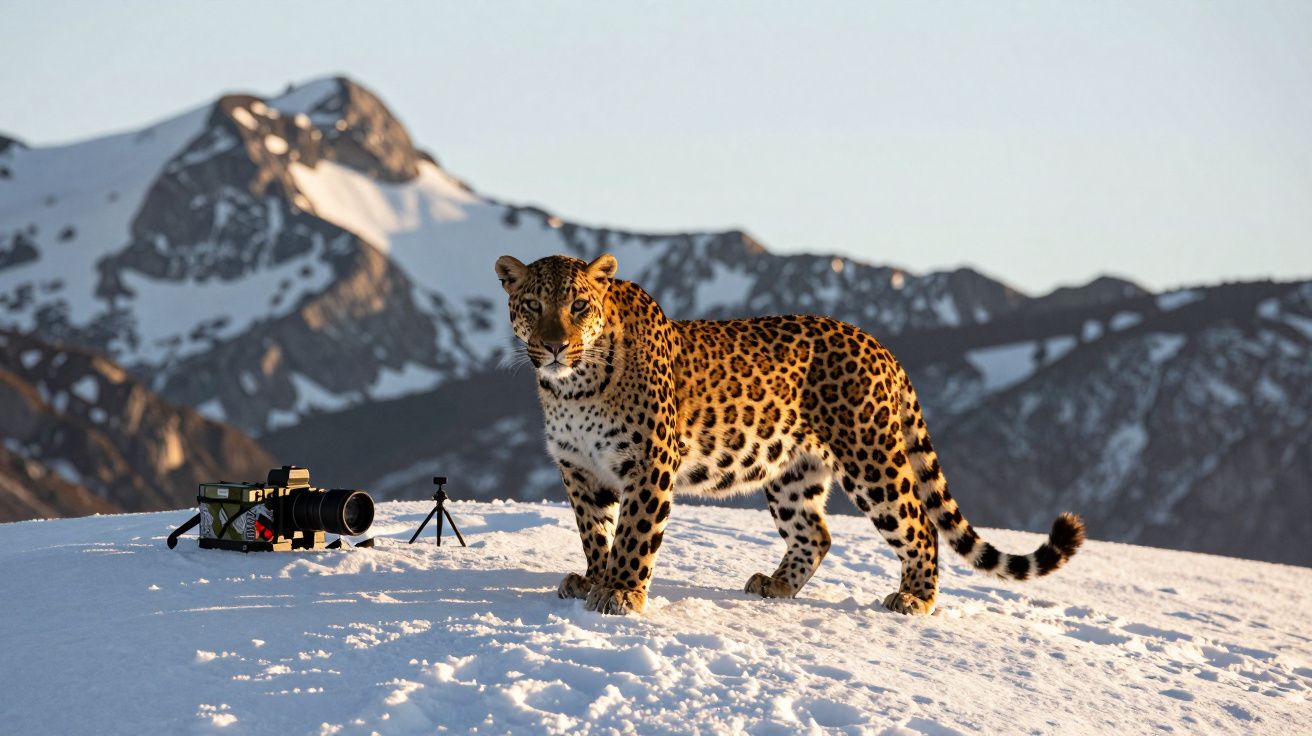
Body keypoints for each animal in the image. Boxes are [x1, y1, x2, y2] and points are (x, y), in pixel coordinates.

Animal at [495, 252, 1085, 616]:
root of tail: (882, 347)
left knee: (920, 523)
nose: (553, 346)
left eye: (578, 306)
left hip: (871, 458)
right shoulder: (580, 469)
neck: (573, 387)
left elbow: (635, 533)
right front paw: (593, 579)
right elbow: (594, 532)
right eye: (534, 306)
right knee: (817, 533)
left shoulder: (649, 462)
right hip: (791, 472)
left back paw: (915, 599)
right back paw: (776, 585)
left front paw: (619, 593)